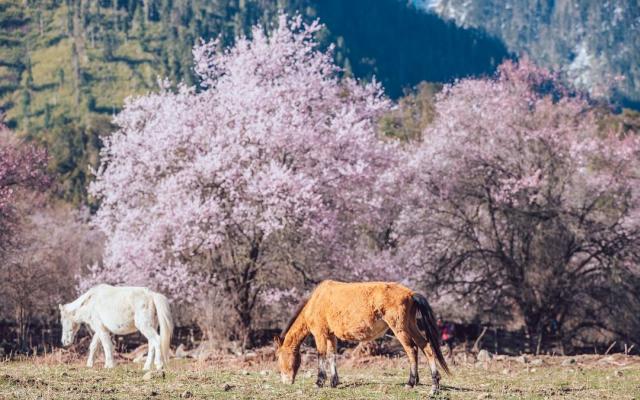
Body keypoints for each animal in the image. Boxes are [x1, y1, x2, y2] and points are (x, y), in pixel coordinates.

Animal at [276, 280, 450, 396]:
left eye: (280, 358)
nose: (286, 381)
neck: (316, 300)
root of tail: (410, 294)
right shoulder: (331, 335)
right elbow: (332, 355)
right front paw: (334, 382)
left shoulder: (320, 334)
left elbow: (321, 355)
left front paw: (319, 382)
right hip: (410, 325)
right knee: (426, 346)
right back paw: (434, 385)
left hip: (399, 328)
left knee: (412, 349)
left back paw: (411, 383)